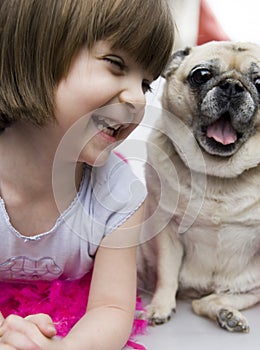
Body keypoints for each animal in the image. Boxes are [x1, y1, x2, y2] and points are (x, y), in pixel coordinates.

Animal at [138, 41, 260, 334]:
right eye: (201, 75)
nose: (233, 86)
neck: (218, 175)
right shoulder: (168, 231)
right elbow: (167, 275)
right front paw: (159, 307)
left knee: (208, 301)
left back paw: (226, 313)